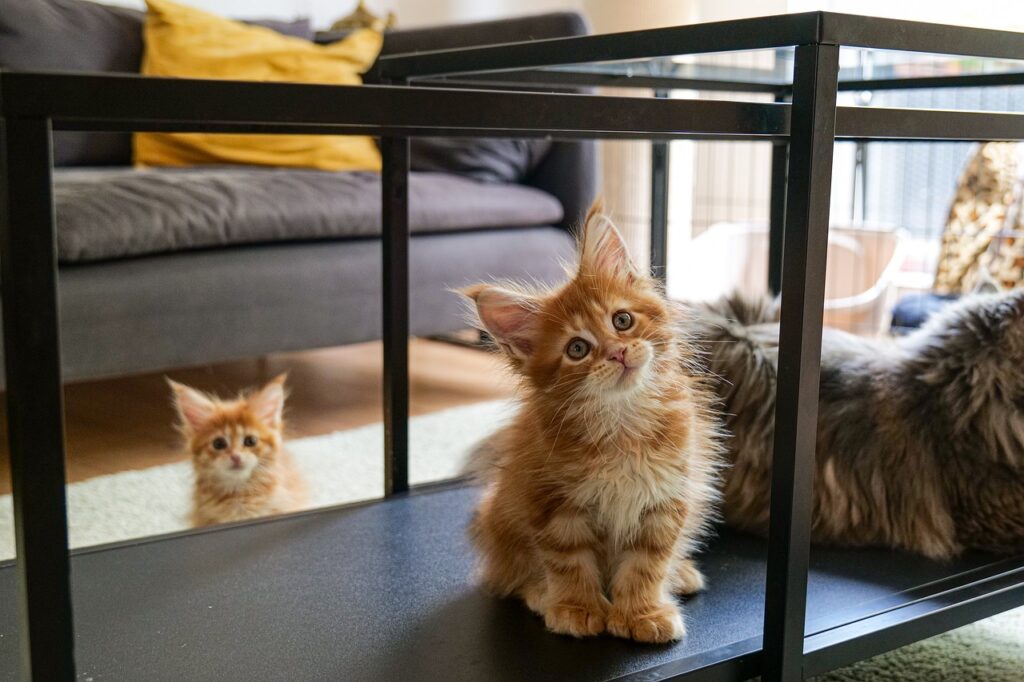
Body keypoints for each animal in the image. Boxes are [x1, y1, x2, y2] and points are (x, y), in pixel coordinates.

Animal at [460, 204, 724, 638]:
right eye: (577, 349)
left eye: (622, 321)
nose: (618, 353)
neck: (622, 423)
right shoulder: (552, 502)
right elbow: (568, 561)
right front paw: (576, 607)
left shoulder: (667, 498)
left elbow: (648, 563)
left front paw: (642, 612)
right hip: (498, 518)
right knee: (509, 576)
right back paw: (540, 592)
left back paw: (681, 573)